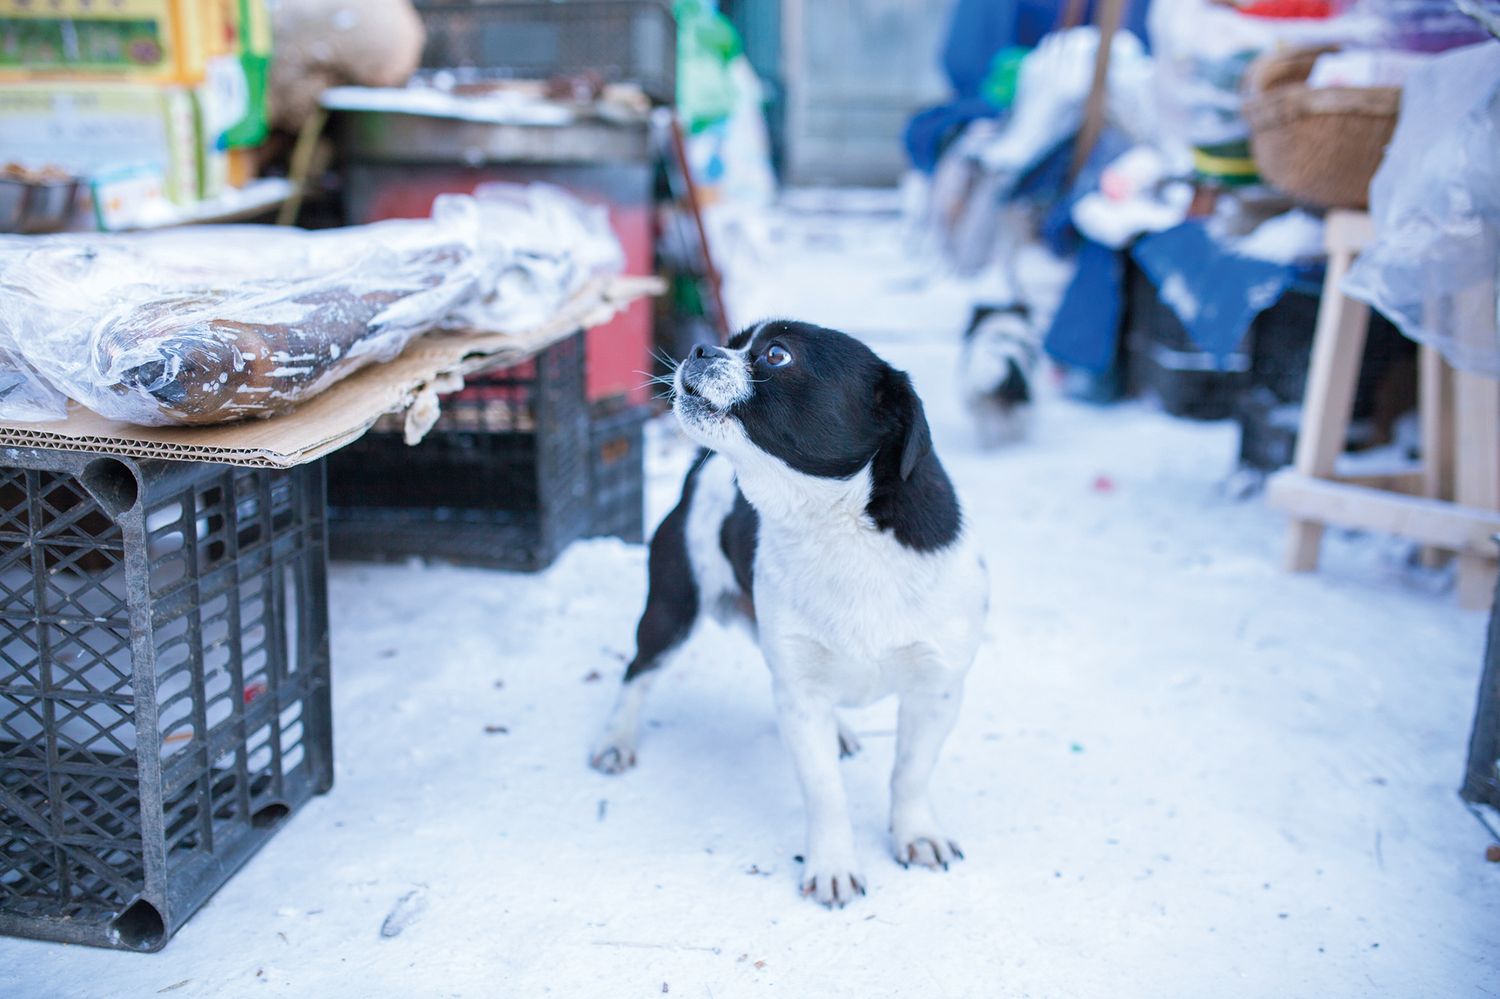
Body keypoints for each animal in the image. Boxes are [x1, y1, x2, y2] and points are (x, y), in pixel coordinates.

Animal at [591, 316, 990, 900]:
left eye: (777, 354)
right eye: (734, 344)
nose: (701, 348)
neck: (837, 529)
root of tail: (697, 475)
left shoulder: (935, 689)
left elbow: (910, 773)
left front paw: (915, 834)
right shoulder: (800, 695)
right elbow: (825, 791)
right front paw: (833, 865)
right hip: (671, 609)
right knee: (637, 672)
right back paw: (616, 739)